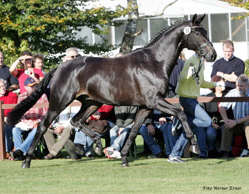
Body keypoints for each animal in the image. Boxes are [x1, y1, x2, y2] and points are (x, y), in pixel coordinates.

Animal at [7, 14, 216, 167]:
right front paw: (195, 145)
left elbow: (133, 131)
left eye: (205, 31)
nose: (212, 55)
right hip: (60, 102)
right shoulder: (155, 101)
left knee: (76, 120)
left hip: (92, 103)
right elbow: (180, 112)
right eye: (198, 34)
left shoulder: (146, 107)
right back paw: (26, 161)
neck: (154, 63)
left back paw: (98, 144)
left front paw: (123, 158)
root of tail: (60, 67)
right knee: (43, 126)